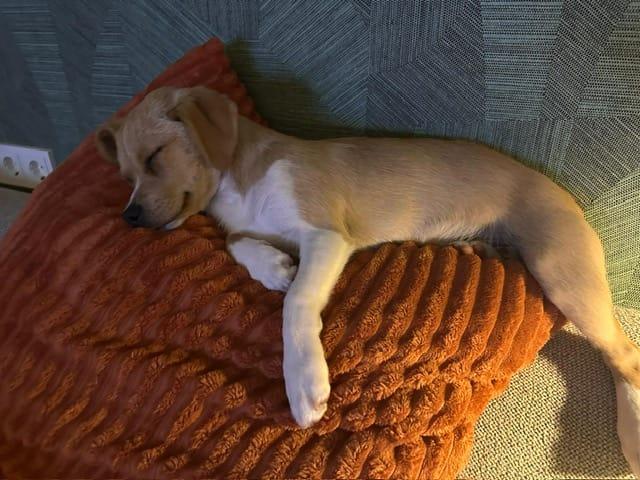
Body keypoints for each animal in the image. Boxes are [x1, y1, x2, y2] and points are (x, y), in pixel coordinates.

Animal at [96, 86, 640, 476]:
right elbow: (237, 244)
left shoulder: (325, 236)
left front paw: (304, 383)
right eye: (124, 174)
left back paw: (631, 431)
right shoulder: (257, 231)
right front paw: (272, 268)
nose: (129, 217)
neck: (238, 182)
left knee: (623, 355)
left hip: (561, 271)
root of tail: (568, 197)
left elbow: (297, 303)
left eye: (155, 156)